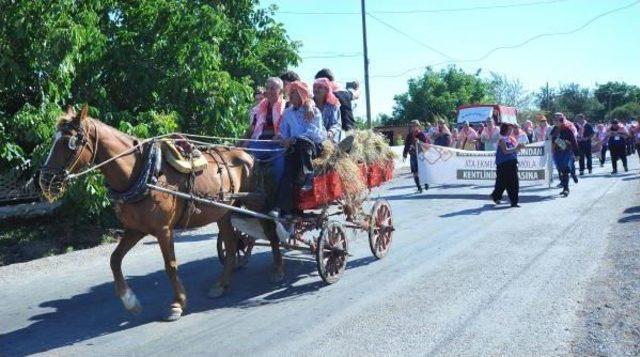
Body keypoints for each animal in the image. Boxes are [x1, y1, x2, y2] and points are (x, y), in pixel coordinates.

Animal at [37, 105, 282, 320]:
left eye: (69, 142)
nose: (45, 180)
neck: (142, 173)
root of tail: (247, 154)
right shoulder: (135, 229)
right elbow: (115, 260)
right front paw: (130, 301)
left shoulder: (164, 229)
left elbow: (170, 265)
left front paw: (177, 304)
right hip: (222, 212)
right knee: (231, 246)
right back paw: (221, 285)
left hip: (256, 203)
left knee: (271, 231)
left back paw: (278, 271)